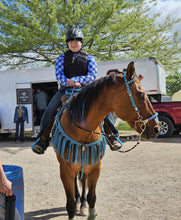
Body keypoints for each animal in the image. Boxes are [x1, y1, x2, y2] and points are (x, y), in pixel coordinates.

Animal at [51, 62, 159, 220]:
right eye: (140, 94)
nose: (157, 128)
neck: (83, 131)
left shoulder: (95, 168)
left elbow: (92, 198)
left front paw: (87, 207)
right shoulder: (65, 170)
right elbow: (70, 205)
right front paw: (74, 204)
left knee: (83, 181)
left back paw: (82, 204)